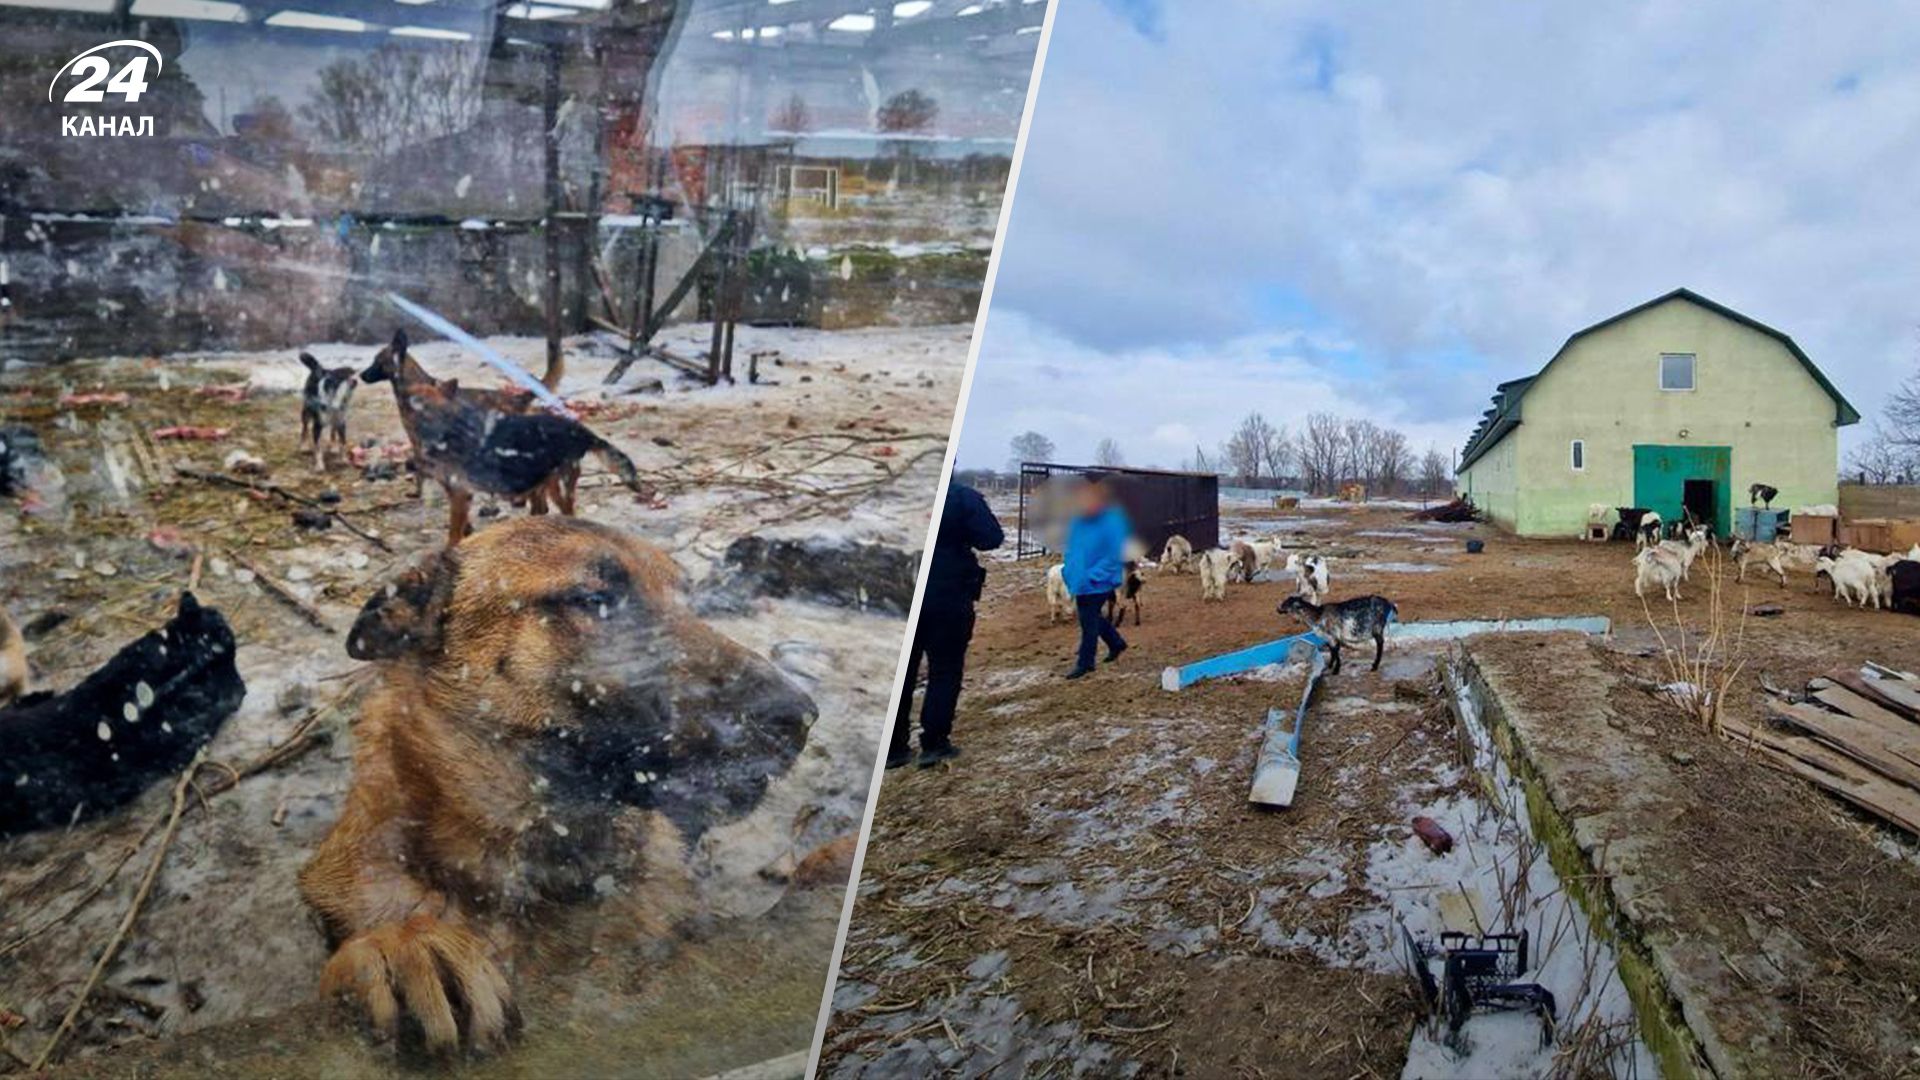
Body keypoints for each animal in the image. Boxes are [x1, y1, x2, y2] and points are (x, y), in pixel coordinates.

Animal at [362, 328, 648, 541]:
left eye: (375, 361)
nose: (360, 376)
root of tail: (582, 430)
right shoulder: (457, 492)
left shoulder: (459, 492)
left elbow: (453, 535)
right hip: (544, 481)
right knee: (542, 508)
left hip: (557, 485)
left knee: (563, 513)